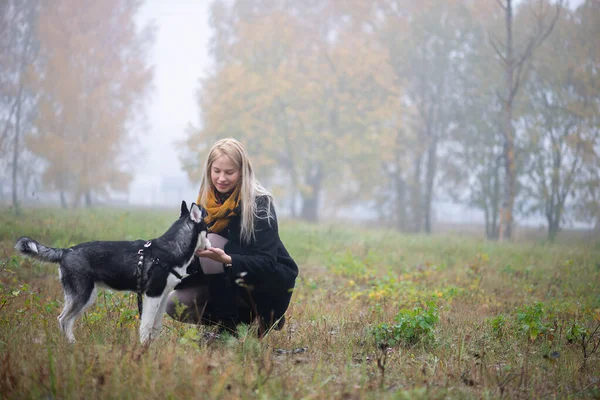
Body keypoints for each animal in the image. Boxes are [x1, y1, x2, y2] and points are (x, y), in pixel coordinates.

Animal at [14, 202, 211, 342]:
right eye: (207, 230)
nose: (211, 246)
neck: (171, 249)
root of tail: (66, 251)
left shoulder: (161, 296)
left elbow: (155, 328)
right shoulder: (152, 295)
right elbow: (146, 326)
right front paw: (143, 351)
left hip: (83, 296)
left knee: (65, 320)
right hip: (82, 295)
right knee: (63, 320)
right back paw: (72, 345)